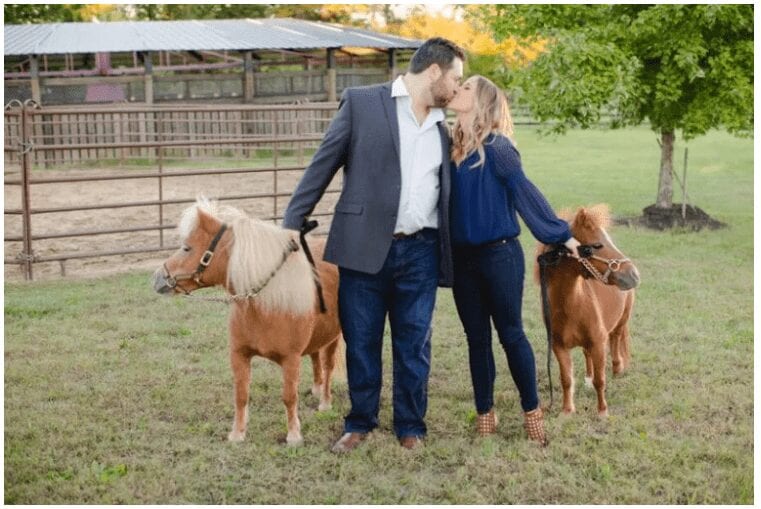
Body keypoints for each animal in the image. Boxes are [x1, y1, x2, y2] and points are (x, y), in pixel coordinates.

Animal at [151, 198, 342, 444]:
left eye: (187, 248)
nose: (157, 278)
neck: (264, 305)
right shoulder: (239, 354)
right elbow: (241, 395)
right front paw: (237, 434)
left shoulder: (291, 360)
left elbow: (289, 396)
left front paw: (293, 436)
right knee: (316, 358)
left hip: (335, 337)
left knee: (327, 366)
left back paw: (325, 402)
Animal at [536, 204, 640, 414]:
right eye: (597, 245)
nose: (634, 274)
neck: (570, 307)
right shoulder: (559, 347)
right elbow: (566, 379)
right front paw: (567, 411)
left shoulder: (599, 342)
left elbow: (601, 381)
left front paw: (602, 412)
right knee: (587, 354)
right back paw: (588, 377)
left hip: (621, 321)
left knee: (615, 339)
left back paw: (617, 369)